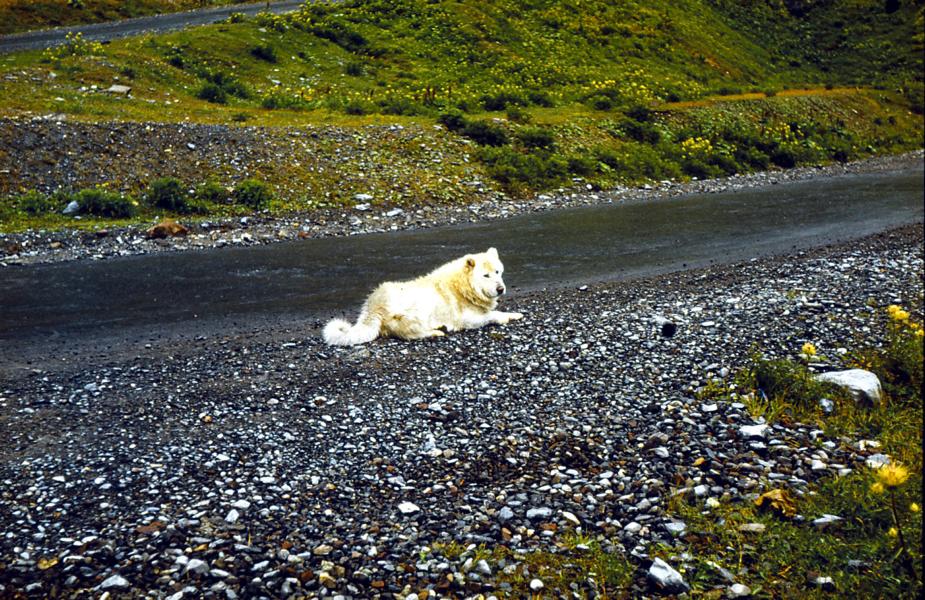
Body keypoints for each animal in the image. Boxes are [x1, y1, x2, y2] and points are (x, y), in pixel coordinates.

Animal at [324, 246, 524, 344]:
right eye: (485, 275)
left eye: (498, 272)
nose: (500, 289)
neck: (464, 286)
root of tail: (373, 305)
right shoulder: (466, 318)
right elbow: (490, 315)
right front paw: (502, 317)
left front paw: (515, 314)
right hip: (418, 305)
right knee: (409, 332)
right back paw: (436, 331)